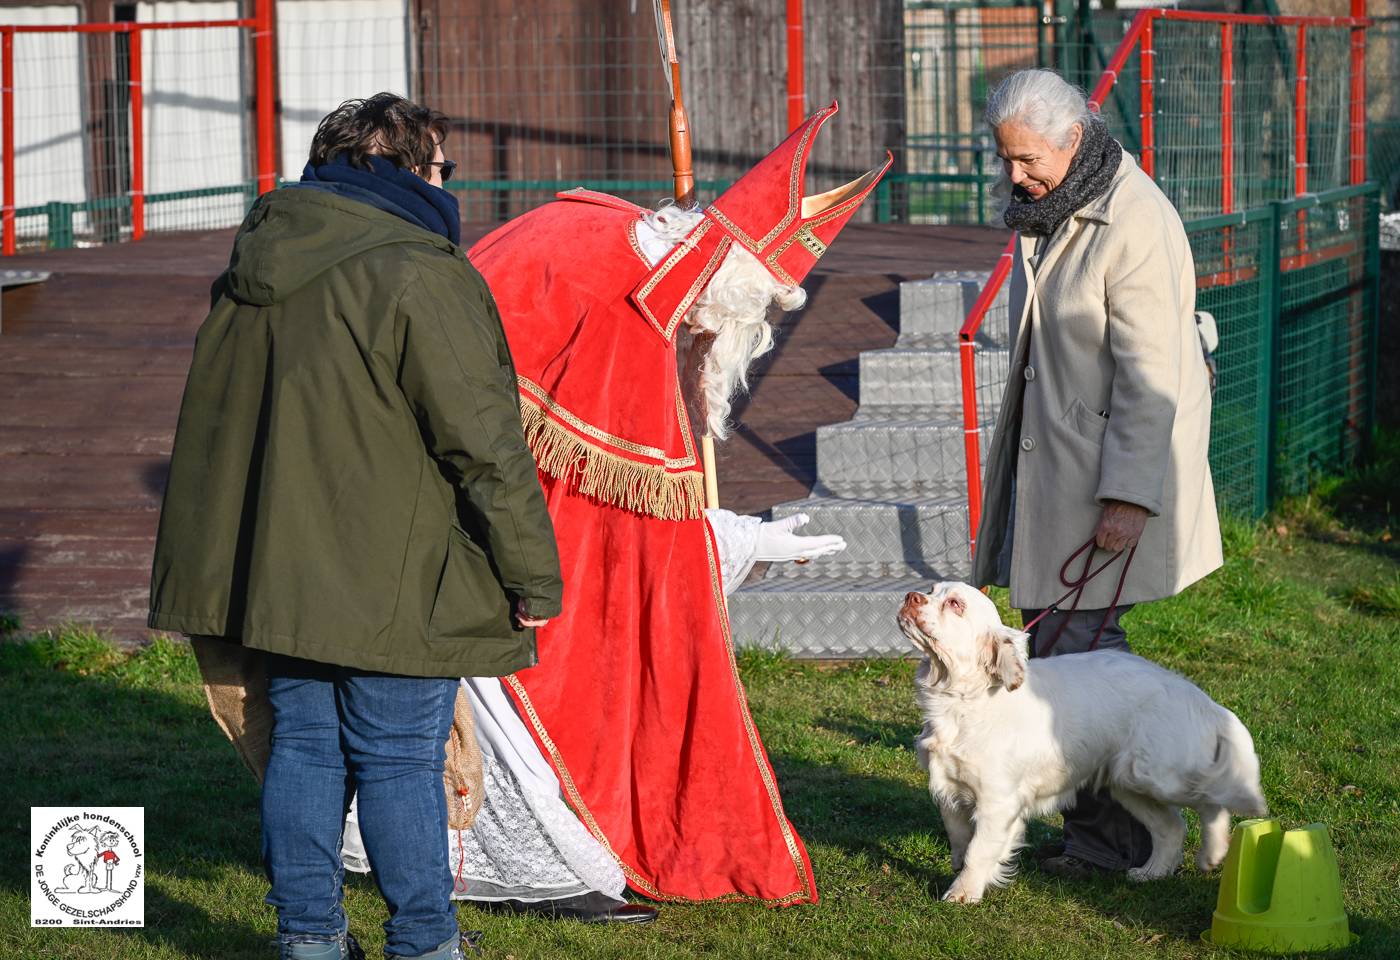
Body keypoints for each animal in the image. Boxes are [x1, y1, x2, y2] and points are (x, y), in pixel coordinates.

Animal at [896, 582, 1271, 906]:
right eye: (931, 590)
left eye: (955, 604)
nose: (910, 597)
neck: (962, 700)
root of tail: (1197, 696)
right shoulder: (949, 789)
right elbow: (960, 839)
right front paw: (962, 874)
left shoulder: (997, 801)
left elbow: (978, 849)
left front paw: (963, 892)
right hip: (1127, 783)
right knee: (1172, 827)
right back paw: (1151, 873)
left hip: (1159, 776)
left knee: (1211, 802)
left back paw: (1213, 854)